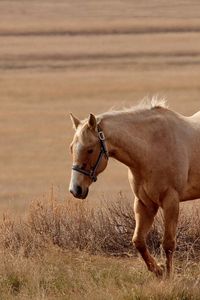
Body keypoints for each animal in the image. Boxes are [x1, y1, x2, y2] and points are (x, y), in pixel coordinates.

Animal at [68, 99, 200, 278]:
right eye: (71, 148)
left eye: (90, 149)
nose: (75, 189)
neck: (152, 147)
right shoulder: (144, 203)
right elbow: (138, 241)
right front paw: (158, 270)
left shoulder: (171, 201)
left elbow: (168, 244)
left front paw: (168, 276)